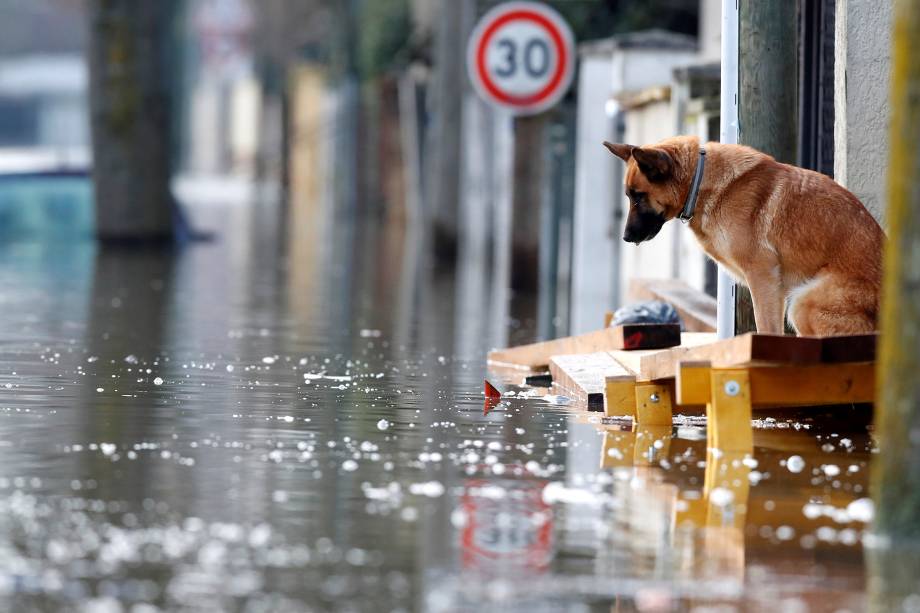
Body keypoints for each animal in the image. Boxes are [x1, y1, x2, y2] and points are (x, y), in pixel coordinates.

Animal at [604, 136, 884, 334]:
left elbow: (767, 330)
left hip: (803, 303)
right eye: (629, 196)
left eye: (639, 197)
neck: (700, 181)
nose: (625, 237)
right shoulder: (774, 288)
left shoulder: (762, 278)